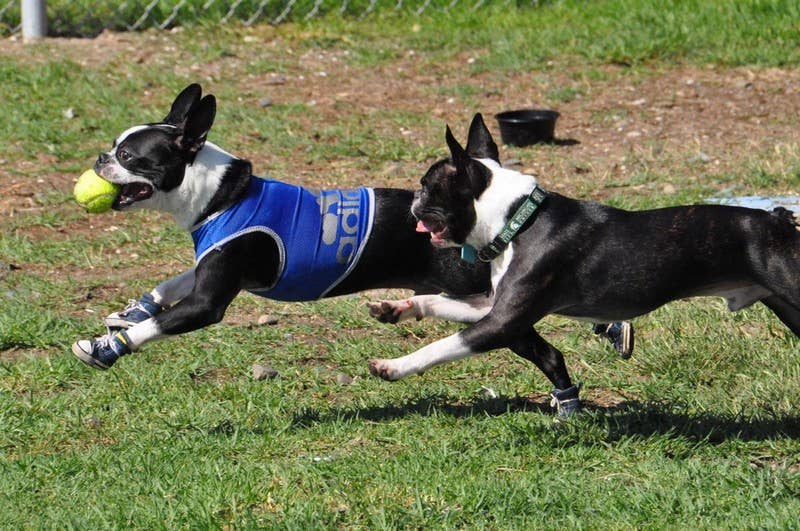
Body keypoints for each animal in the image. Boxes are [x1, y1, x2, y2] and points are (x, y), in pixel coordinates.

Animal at [368, 114, 800, 418]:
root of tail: (779, 220)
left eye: (428, 186)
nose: (413, 200)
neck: (517, 219)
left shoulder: (502, 322)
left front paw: (393, 366)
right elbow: (439, 301)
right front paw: (397, 307)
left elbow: (442, 345)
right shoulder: (493, 305)